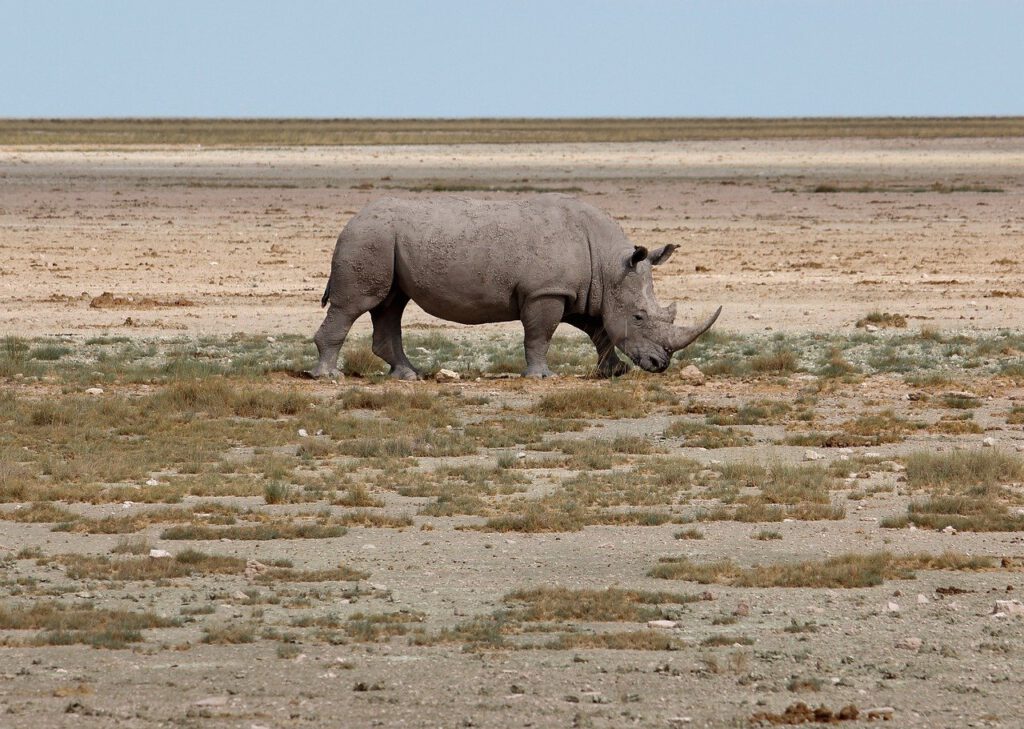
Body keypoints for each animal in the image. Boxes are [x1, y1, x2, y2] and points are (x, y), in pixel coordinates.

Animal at [308, 194, 720, 379]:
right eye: (639, 317)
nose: (660, 364)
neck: (609, 264)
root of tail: (348, 222)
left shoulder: (578, 291)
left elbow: (599, 331)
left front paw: (613, 372)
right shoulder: (546, 291)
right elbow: (540, 335)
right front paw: (541, 377)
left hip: (383, 242)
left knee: (390, 305)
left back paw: (409, 376)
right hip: (369, 239)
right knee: (357, 304)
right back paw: (329, 377)